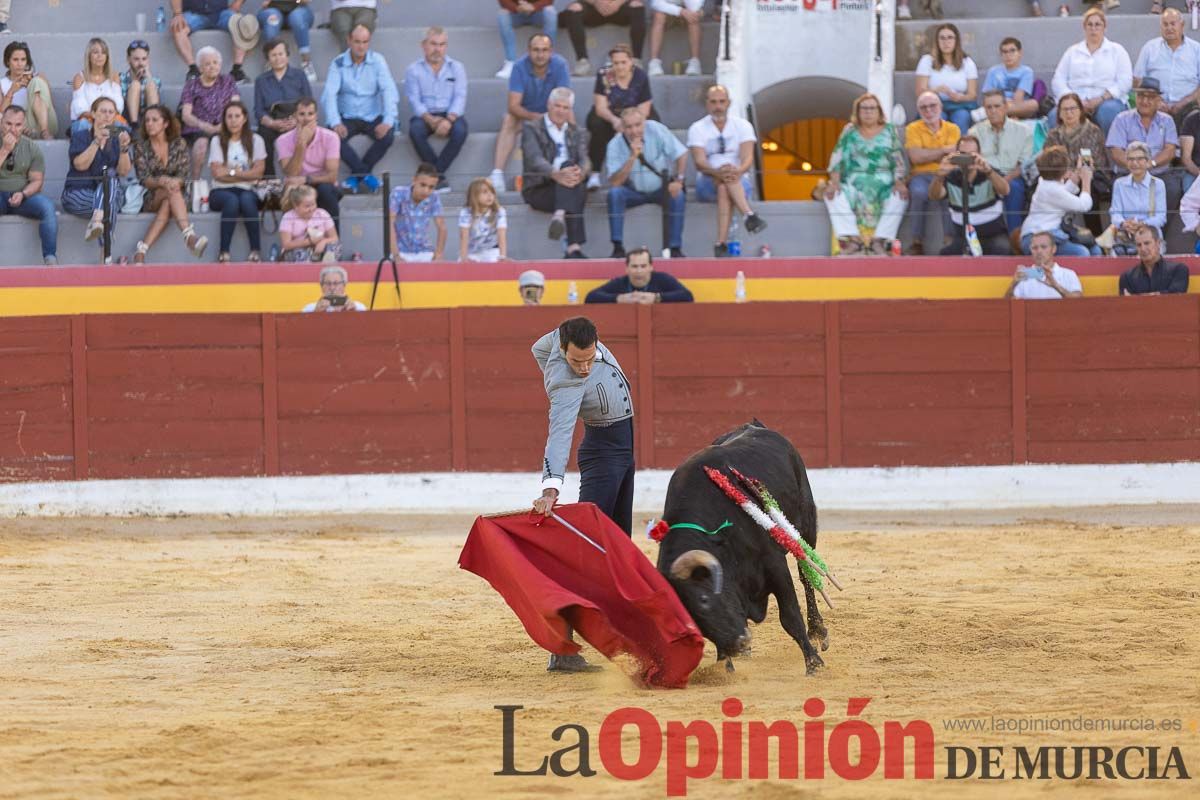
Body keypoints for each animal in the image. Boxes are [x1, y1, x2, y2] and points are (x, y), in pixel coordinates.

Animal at [657, 422, 825, 671]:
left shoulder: (774, 564)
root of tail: (755, 425)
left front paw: (813, 663)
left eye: (704, 600)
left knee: (807, 576)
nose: (739, 643)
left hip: (805, 524)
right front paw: (724, 669)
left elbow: (790, 617)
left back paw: (818, 631)